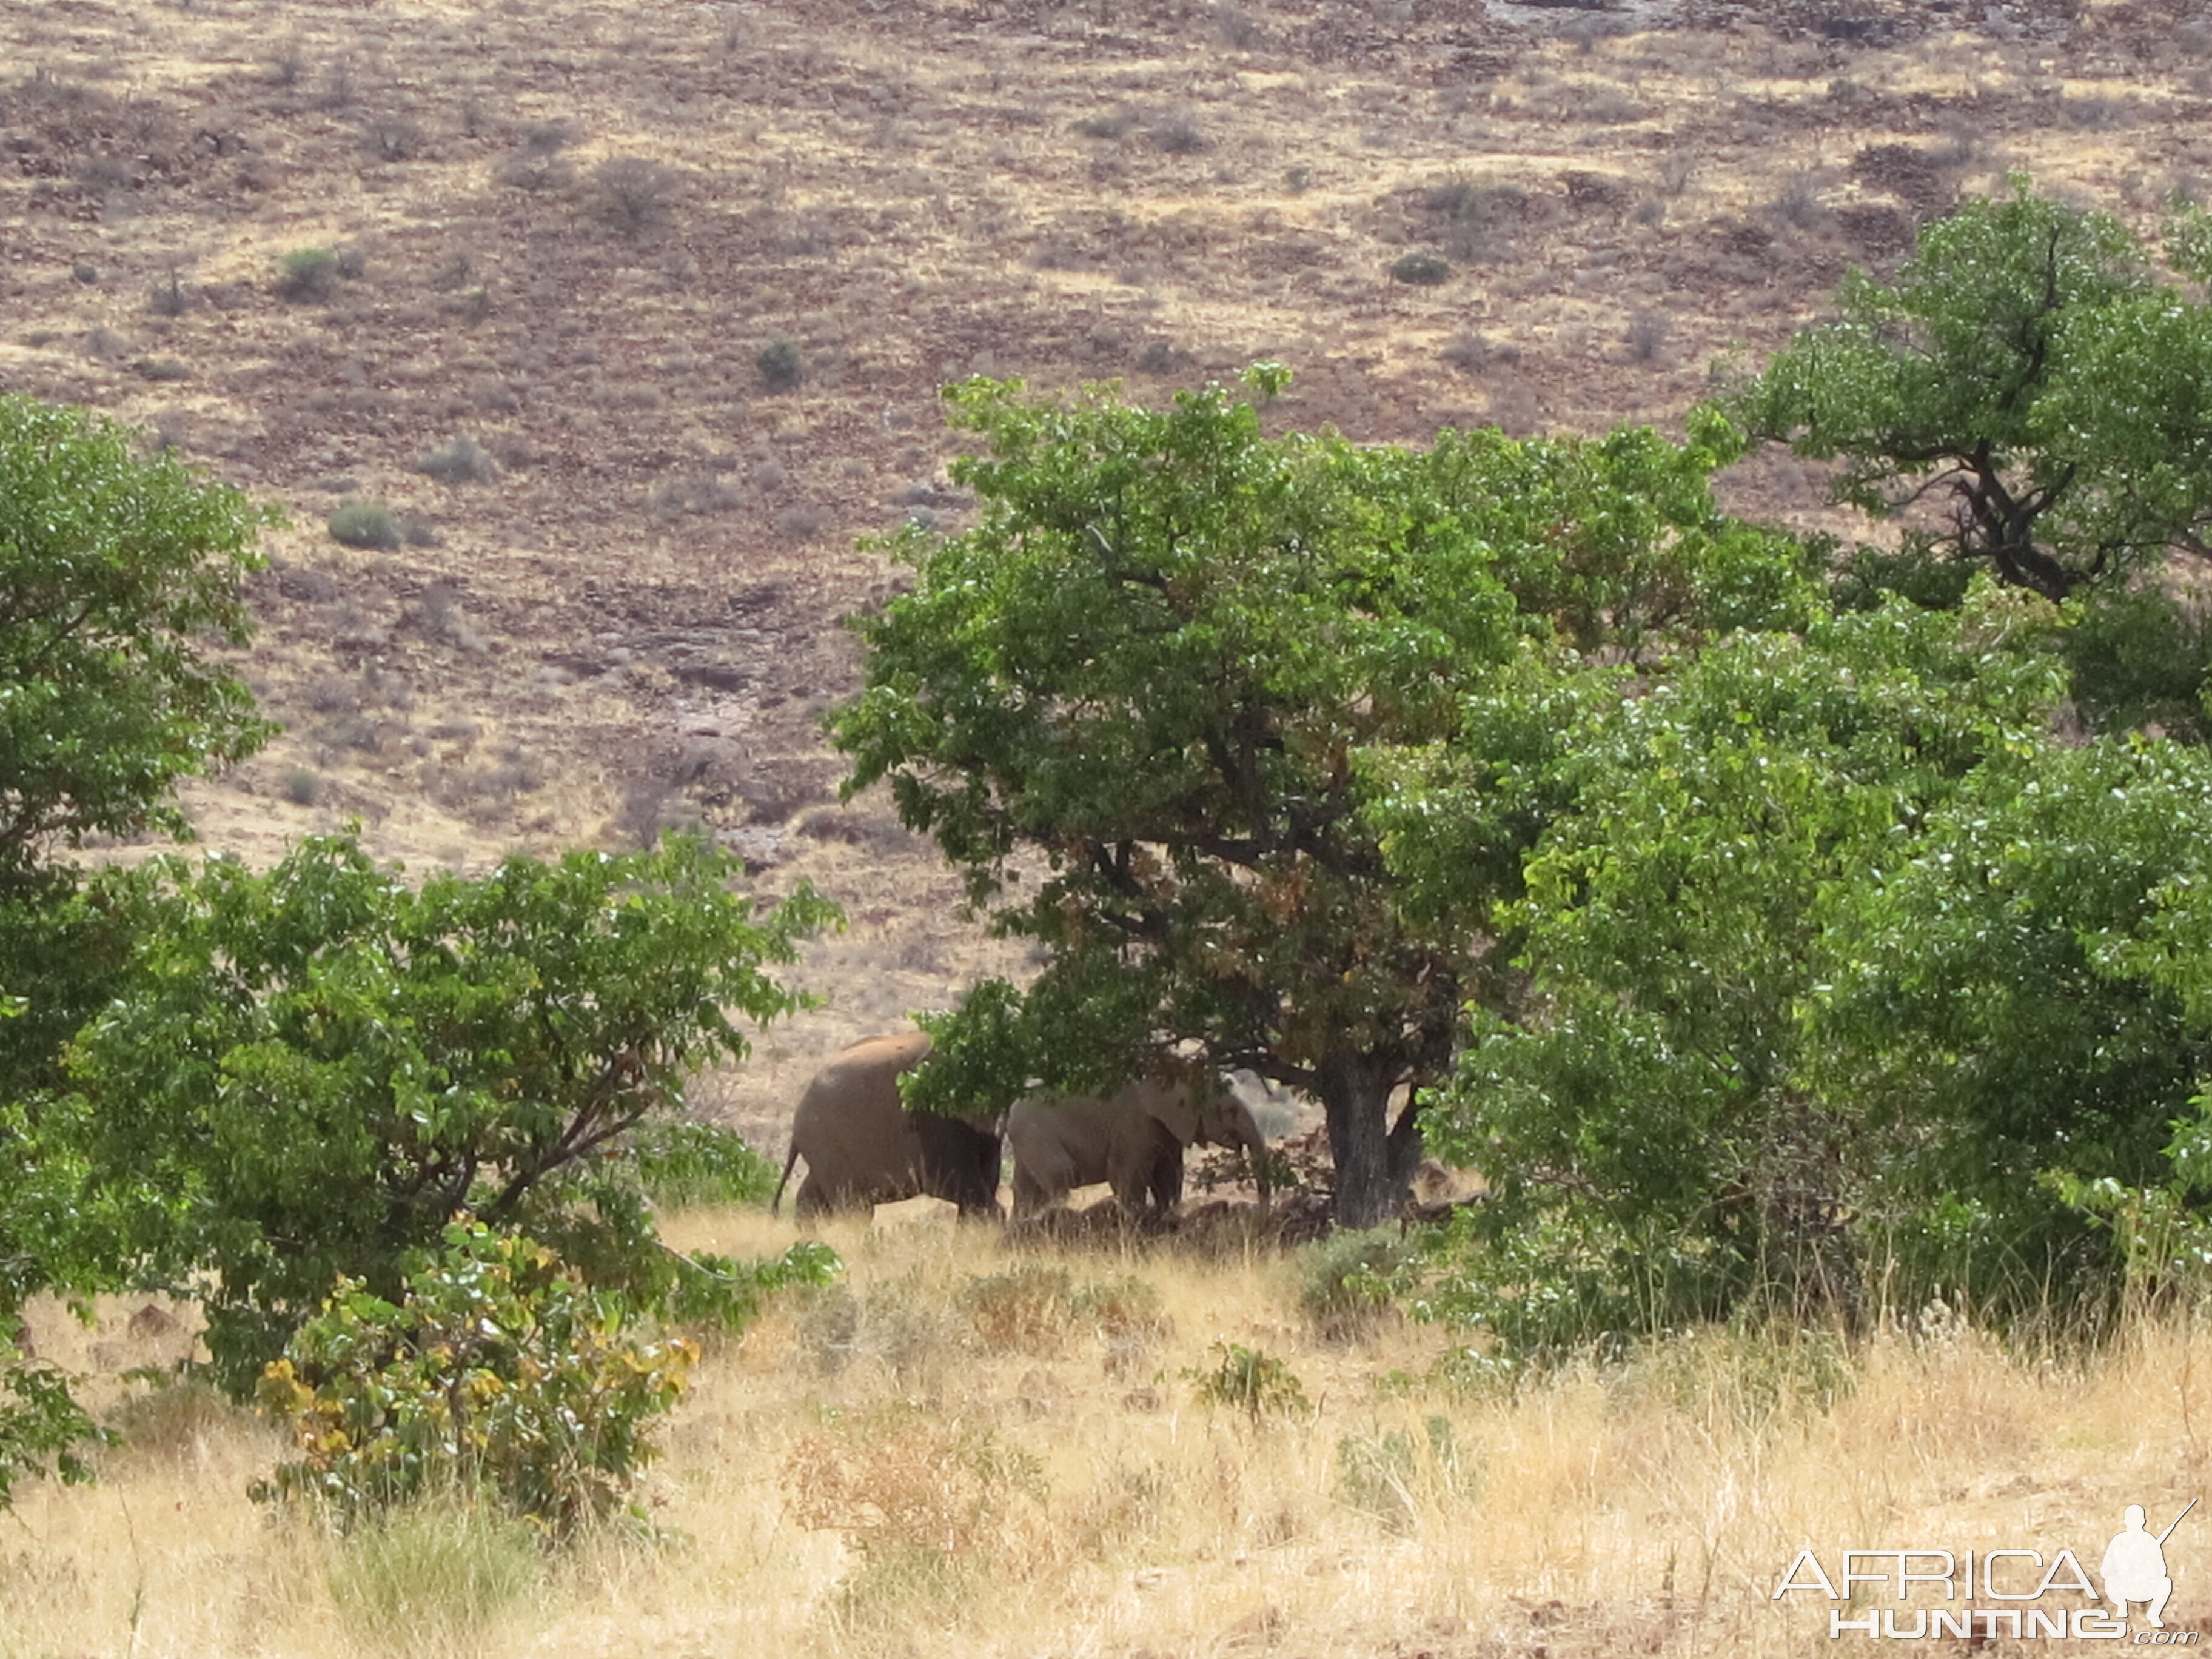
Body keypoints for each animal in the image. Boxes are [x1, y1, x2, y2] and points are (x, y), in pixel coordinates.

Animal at [1008, 1079, 1274, 1221]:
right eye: (1230, 1111)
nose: (1262, 1212)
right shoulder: (1134, 1124)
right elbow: (1128, 1174)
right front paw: (1136, 1218)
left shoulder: (1167, 1129)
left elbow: (1169, 1175)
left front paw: (1166, 1214)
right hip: (1036, 1135)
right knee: (1062, 1176)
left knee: (1026, 1190)